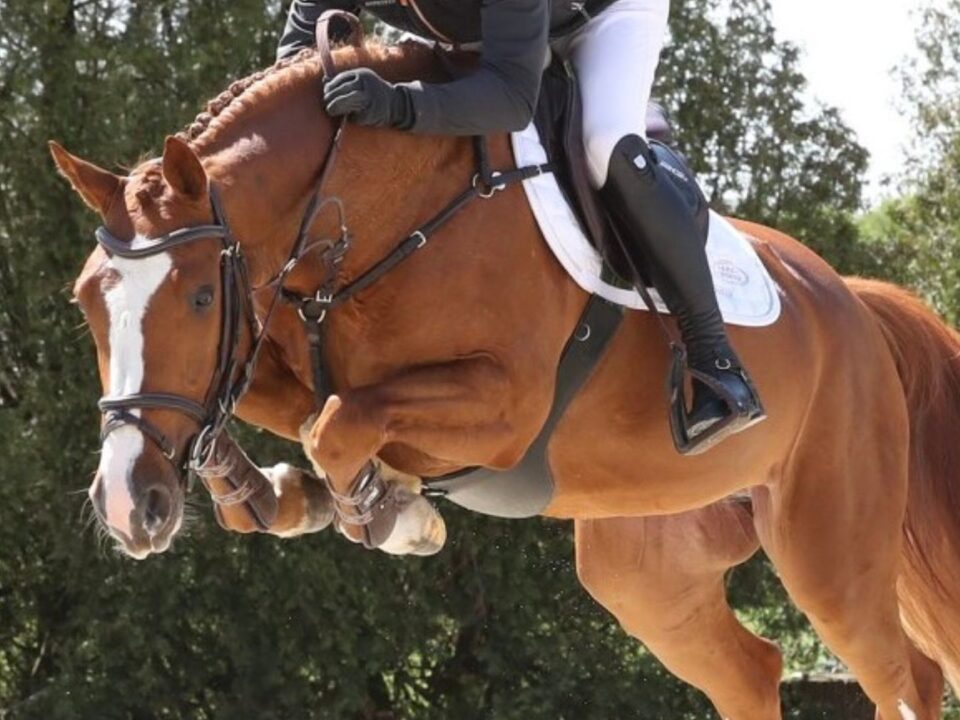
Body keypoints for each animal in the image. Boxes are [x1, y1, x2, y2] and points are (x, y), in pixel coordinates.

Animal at [51, 39, 960, 720]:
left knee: (905, 676)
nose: (128, 507)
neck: (376, 216)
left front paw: (388, 514)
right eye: (88, 302)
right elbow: (298, 412)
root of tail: (850, 299)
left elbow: (338, 424)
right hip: (648, 568)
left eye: (201, 297)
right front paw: (274, 495)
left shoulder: (505, 409)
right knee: (751, 673)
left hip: (827, 545)